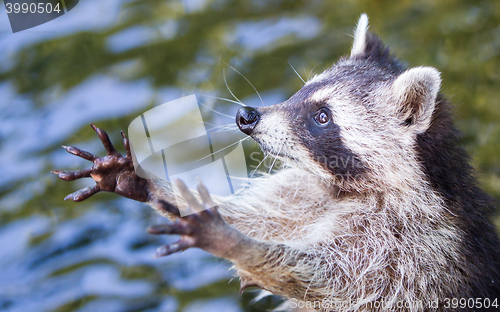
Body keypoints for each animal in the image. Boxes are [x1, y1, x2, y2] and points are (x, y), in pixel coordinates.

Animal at [54, 14, 500, 310]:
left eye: (322, 116)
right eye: (302, 91)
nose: (246, 116)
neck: (342, 188)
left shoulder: (411, 247)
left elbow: (321, 277)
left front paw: (233, 241)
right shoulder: (308, 192)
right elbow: (258, 220)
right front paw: (149, 185)